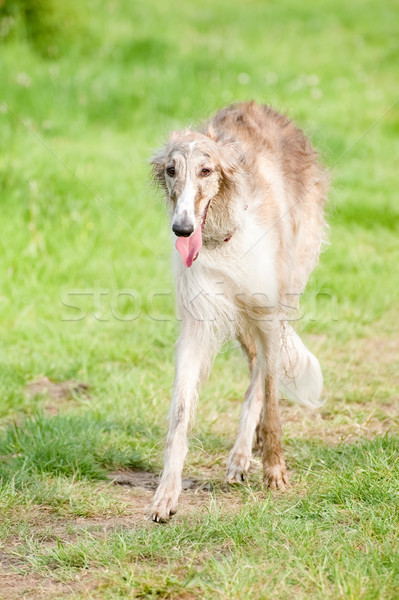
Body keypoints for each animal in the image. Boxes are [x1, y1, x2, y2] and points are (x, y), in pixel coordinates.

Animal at [150, 102, 328, 520]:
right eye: (171, 170)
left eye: (206, 170)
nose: (182, 229)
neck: (223, 237)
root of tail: (262, 107)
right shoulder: (198, 323)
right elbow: (181, 411)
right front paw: (167, 493)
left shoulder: (268, 311)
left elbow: (272, 394)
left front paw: (275, 469)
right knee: (255, 368)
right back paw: (244, 453)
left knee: (262, 375)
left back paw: (247, 454)